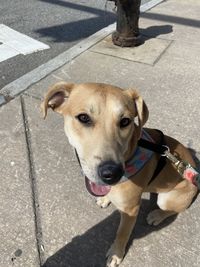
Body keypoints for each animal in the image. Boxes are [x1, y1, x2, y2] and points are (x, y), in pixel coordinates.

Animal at [41, 82, 198, 266]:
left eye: (125, 121)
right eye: (83, 118)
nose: (111, 173)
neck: (131, 153)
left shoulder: (131, 210)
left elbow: (122, 233)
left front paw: (116, 254)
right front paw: (105, 199)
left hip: (167, 199)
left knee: (174, 209)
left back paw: (157, 215)